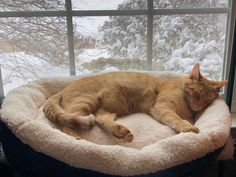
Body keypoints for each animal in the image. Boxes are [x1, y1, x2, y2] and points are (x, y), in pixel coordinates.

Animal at [43, 63, 227, 142]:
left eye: (207, 100)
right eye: (196, 94)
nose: (198, 106)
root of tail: (64, 88)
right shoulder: (162, 107)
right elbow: (175, 119)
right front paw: (187, 127)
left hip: (106, 110)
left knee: (100, 120)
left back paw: (121, 132)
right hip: (86, 102)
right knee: (65, 123)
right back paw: (75, 137)